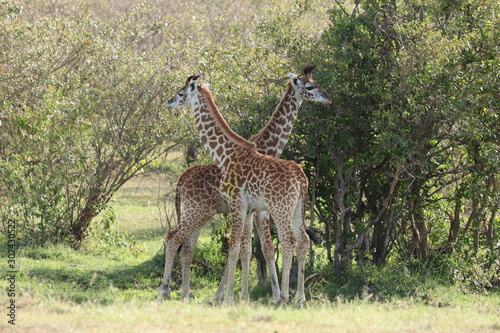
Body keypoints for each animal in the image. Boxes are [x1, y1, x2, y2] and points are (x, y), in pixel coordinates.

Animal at [158, 66, 332, 302]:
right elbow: (248, 249)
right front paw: (238, 296)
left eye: (180, 93)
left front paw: (237, 296)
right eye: (310, 86)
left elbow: (250, 248)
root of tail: (182, 178)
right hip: (200, 211)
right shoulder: (252, 210)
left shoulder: (250, 209)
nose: (169, 102)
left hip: (205, 212)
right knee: (177, 240)